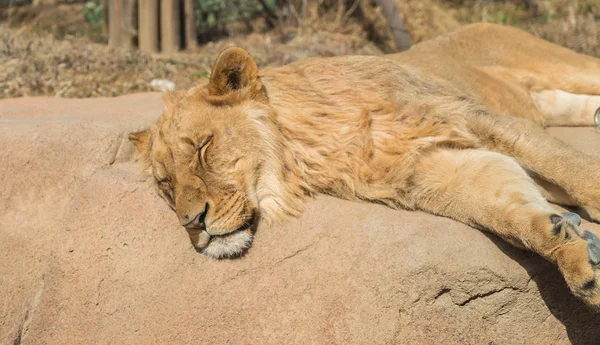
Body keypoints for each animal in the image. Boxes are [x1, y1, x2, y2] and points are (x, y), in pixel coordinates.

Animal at [129, 22, 600, 306]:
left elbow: (573, 170)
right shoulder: (430, 171)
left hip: (562, 64)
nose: (192, 222)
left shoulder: (473, 116)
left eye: (202, 147)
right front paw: (577, 253)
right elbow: (508, 207)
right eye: (166, 185)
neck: (308, 148)